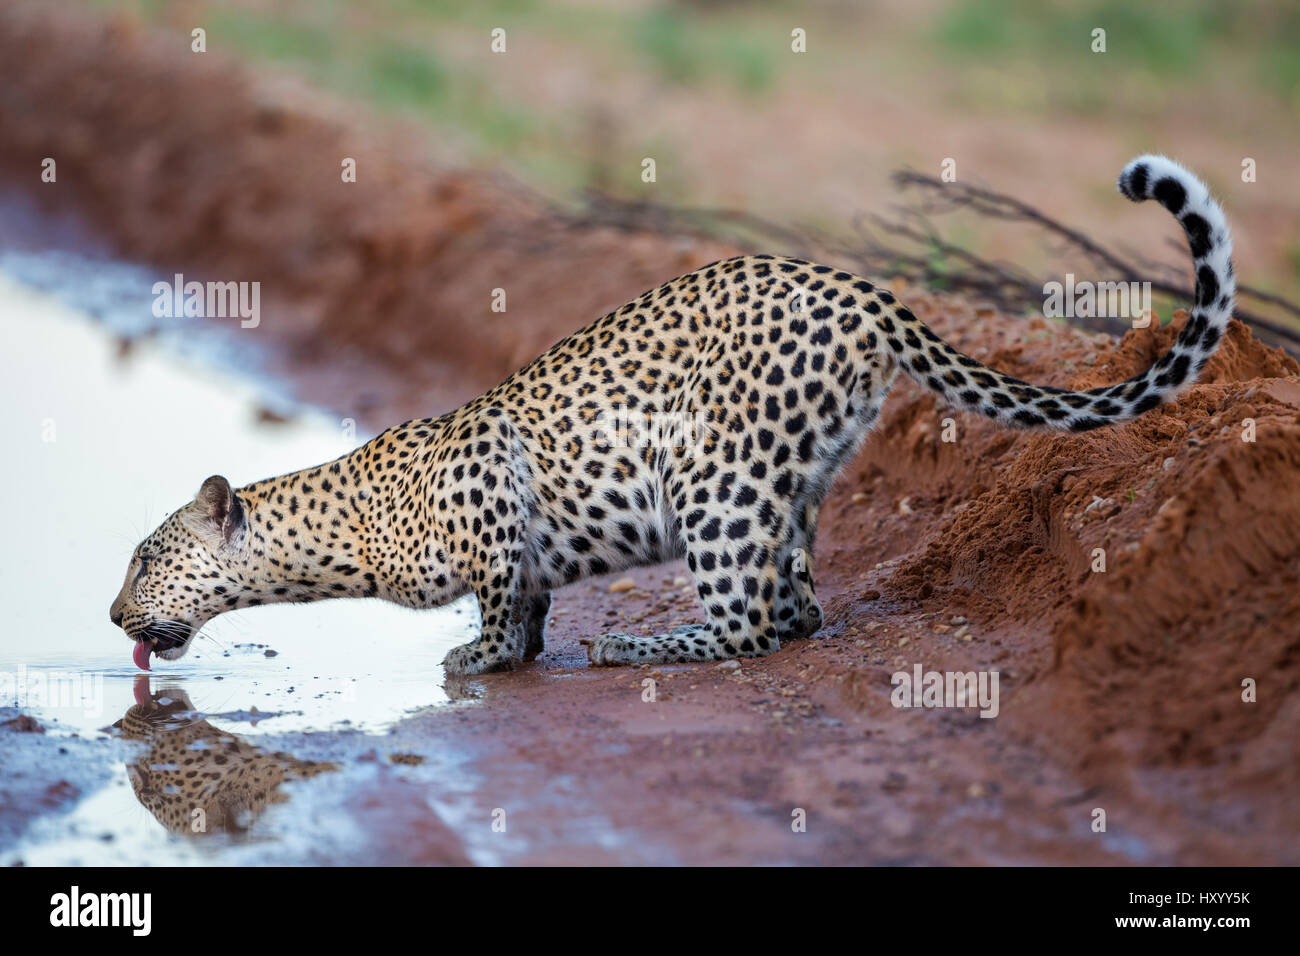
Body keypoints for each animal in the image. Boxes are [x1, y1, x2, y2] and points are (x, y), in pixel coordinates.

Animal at [109, 157, 1227, 676]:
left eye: (144, 557)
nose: (114, 618)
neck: (338, 530)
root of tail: (863, 290)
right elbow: (527, 598)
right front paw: (515, 651)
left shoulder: (489, 483)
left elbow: (500, 598)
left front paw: (484, 657)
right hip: (795, 479)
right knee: (796, 610)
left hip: (712, 480)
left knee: (751, 622)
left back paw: (639, 647)